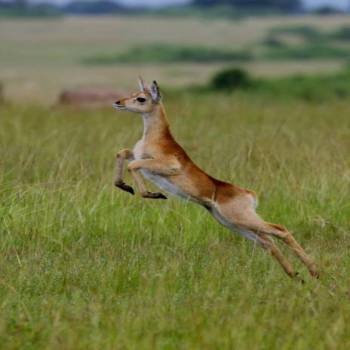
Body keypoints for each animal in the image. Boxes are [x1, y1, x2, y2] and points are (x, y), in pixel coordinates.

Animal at [113, 78, 320, 280]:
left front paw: (152, 194)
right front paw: (124, 186)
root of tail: (249, 193)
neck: (157, 138)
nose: (118, 102)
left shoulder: (167, 165)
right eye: (132, 93)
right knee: (268, 242)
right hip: (233, 223)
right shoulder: (137, 156)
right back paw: (296, 275)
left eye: (141, 98)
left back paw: (314, 272)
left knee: (280, 230)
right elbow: (122, 153)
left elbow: (133, 165)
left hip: (242, 219)